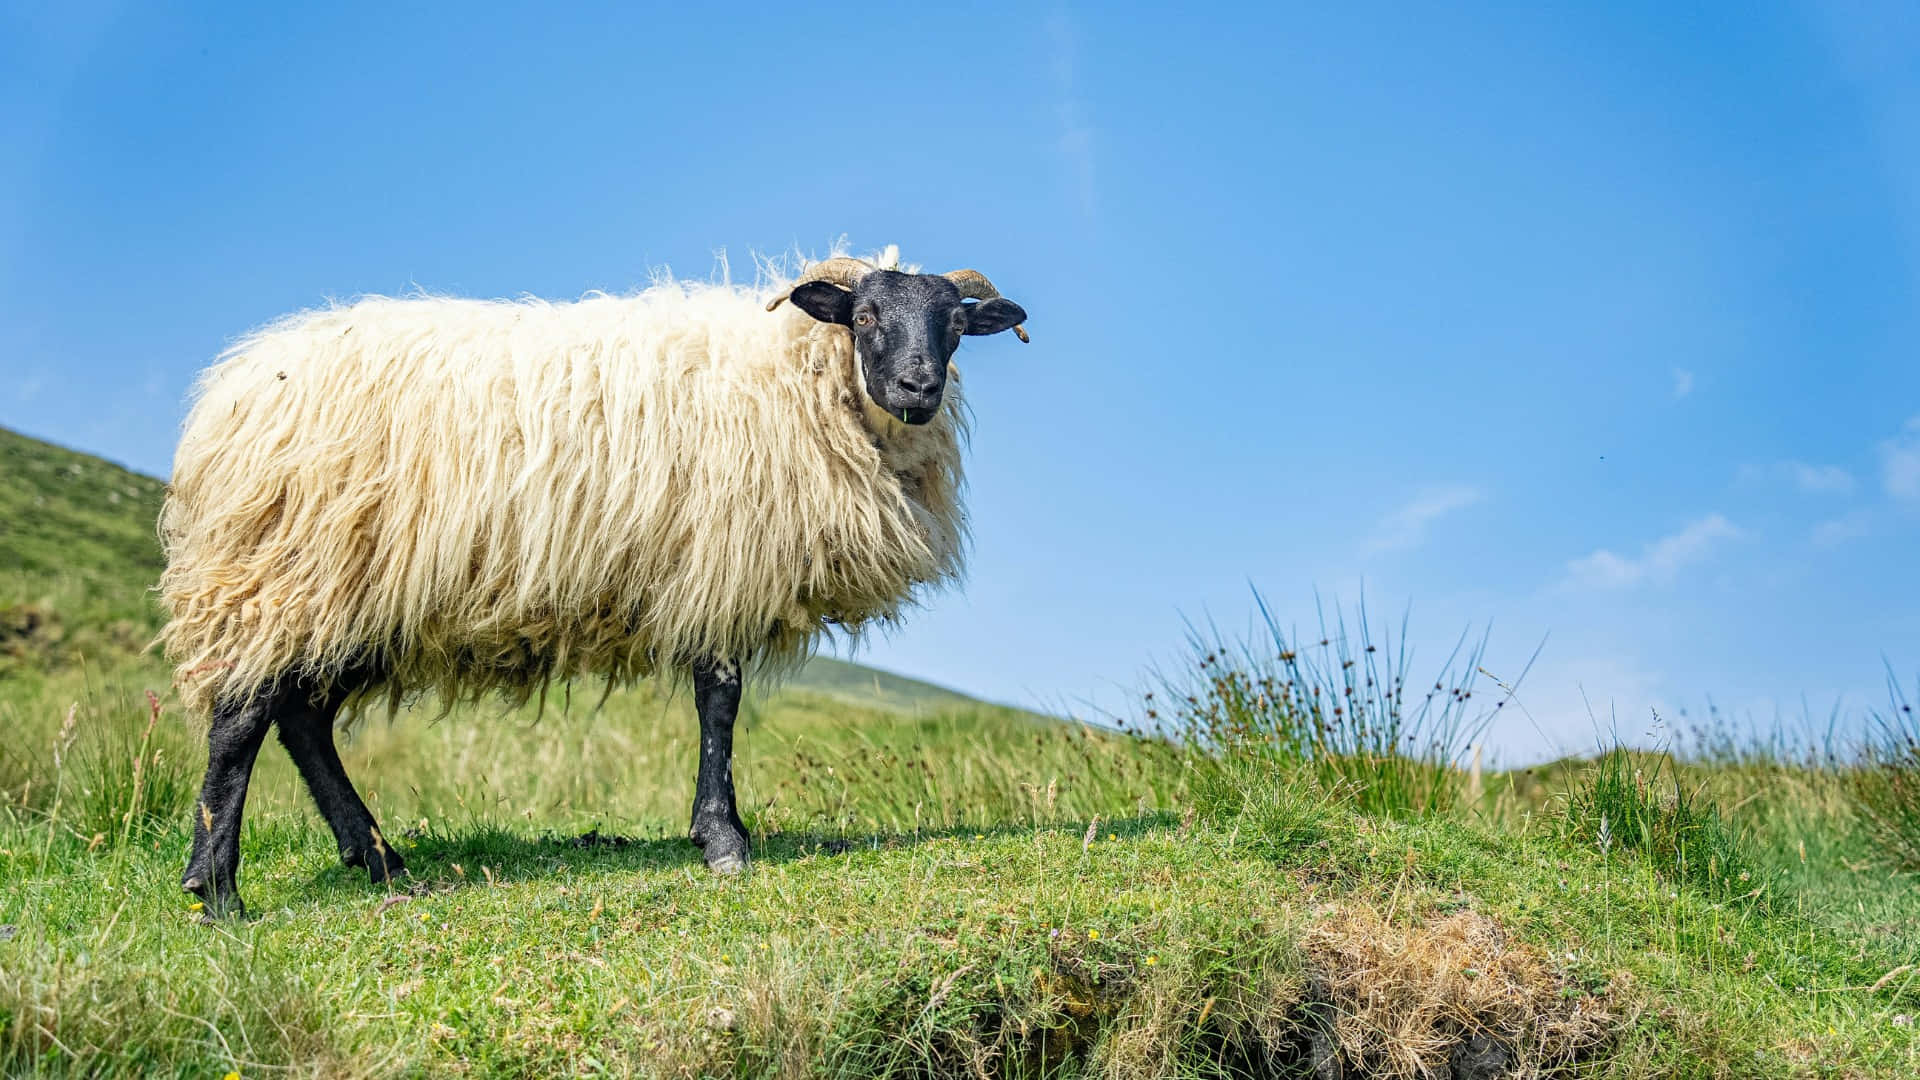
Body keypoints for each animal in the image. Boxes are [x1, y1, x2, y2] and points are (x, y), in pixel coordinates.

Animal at [159, 249, 1029, 914]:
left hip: (355, 605)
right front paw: (723, 839)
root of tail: (223, 401)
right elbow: (720, 701)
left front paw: (718, 832)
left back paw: (377, 856)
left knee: (302, 720)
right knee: (239, 722)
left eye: (955, 324)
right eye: (866, 318)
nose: (919, 388)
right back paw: (217, 891)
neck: (795, 379)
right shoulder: (718, 565)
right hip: (284, 575)